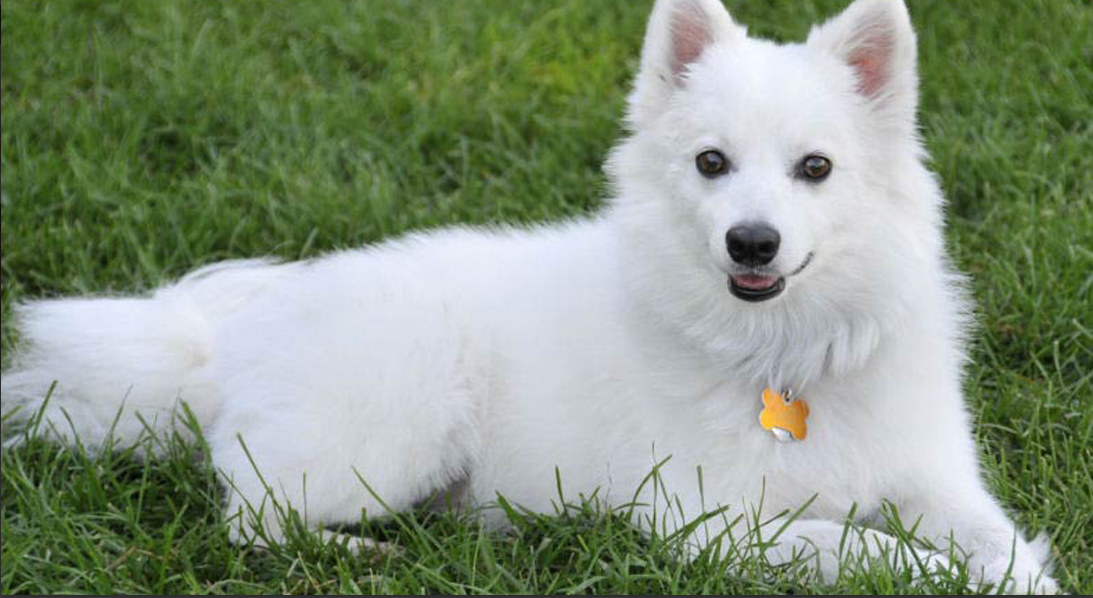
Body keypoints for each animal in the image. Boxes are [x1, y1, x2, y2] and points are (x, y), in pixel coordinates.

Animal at [0, 0, 1058, 590]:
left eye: (816, 168)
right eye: (711, 163)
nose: (750, 240)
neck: (783, 355)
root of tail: (228, 346)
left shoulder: (941, 483)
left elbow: (1003, 548)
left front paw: (1015, 580)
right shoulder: (710, 523)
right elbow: (873, 551)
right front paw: (935, 573)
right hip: (398, 432)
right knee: (252, 522)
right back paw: (361, 558)